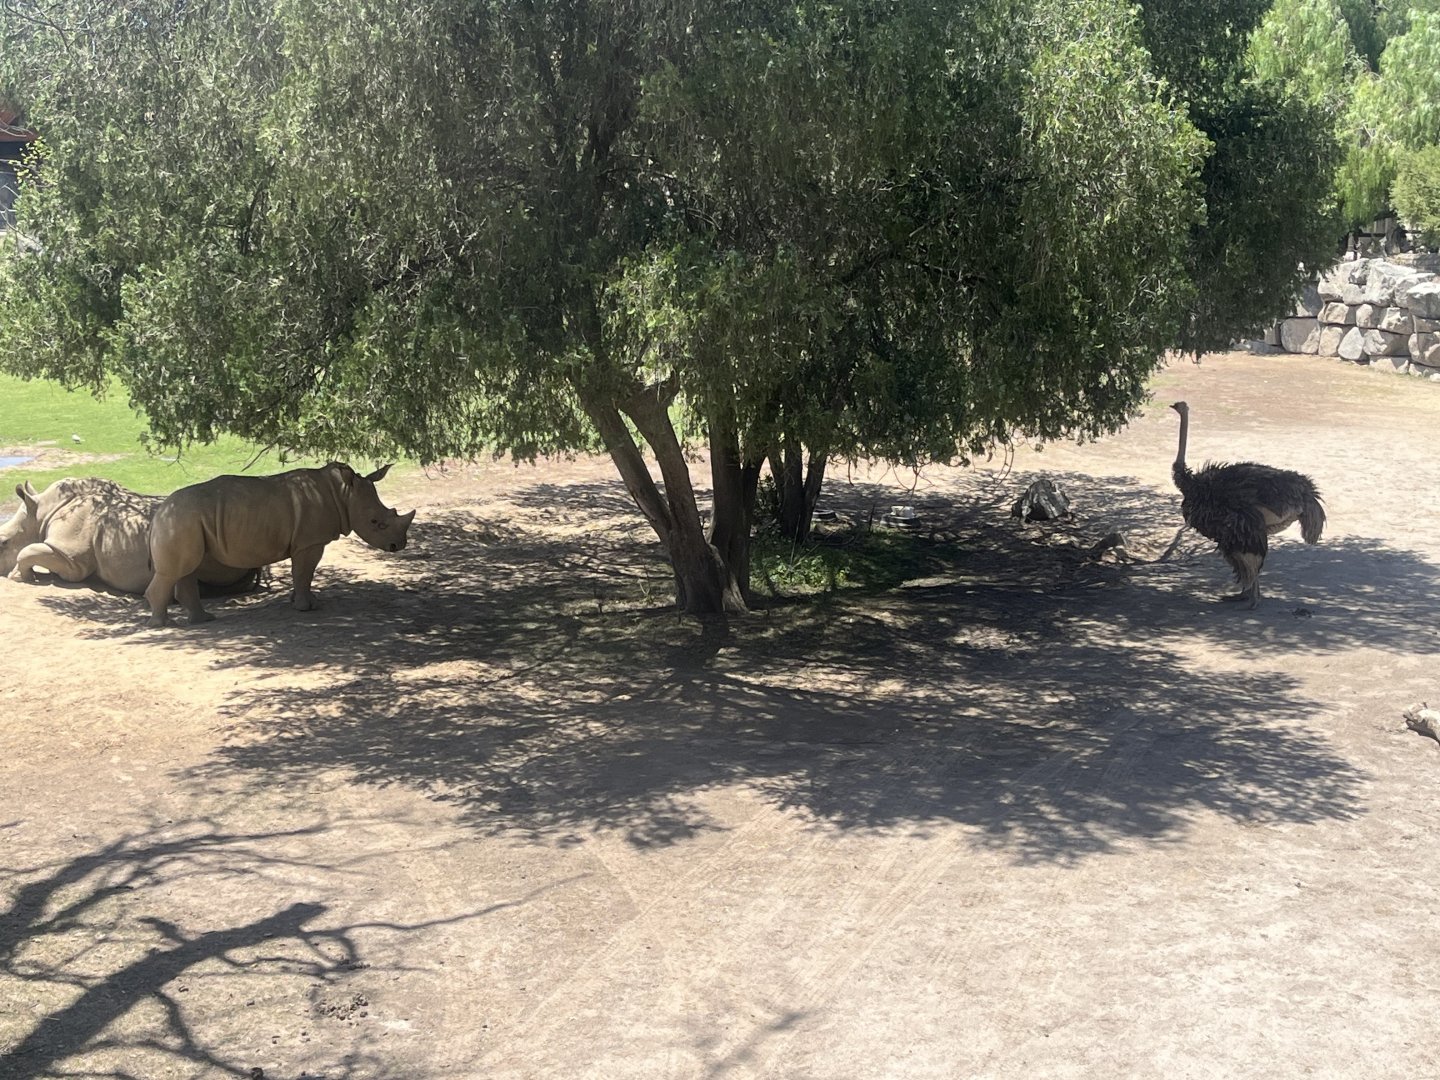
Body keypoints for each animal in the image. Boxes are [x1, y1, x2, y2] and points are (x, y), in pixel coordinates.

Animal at [146, 462, 415, 626]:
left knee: (186, 569)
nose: (398, 545)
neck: (343, 495)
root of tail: (157, 514)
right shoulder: (310, 542)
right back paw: (163, 625)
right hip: (181, 521)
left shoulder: (304, 542)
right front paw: (307, 608)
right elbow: (304, 572)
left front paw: (300, 601)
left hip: (184, 522)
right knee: (177, 570)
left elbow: (302, 573)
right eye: (375, 522)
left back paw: (204, 620)